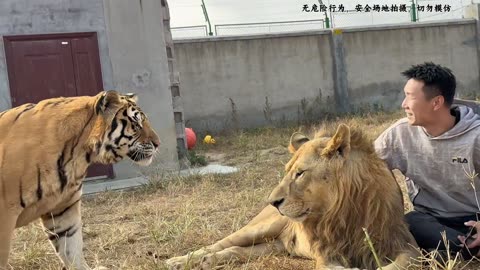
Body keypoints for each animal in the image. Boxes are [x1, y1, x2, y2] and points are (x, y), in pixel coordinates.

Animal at [0, 91, 161, 270]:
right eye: (136, 124)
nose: (158, 143)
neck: (79, 154)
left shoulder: (63, 209)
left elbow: (71, 250)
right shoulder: (5, 214)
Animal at [164, 123, 416, 268]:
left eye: (300, 173)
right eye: (286, 171)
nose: (273, 201)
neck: (345, 211)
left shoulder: (404, 244)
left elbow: (400, 265)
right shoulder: (326, 255)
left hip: (274, 245)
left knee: (238, 251)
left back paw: (208, 262)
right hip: (260, 228)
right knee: (218, 244)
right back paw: (180, 261)